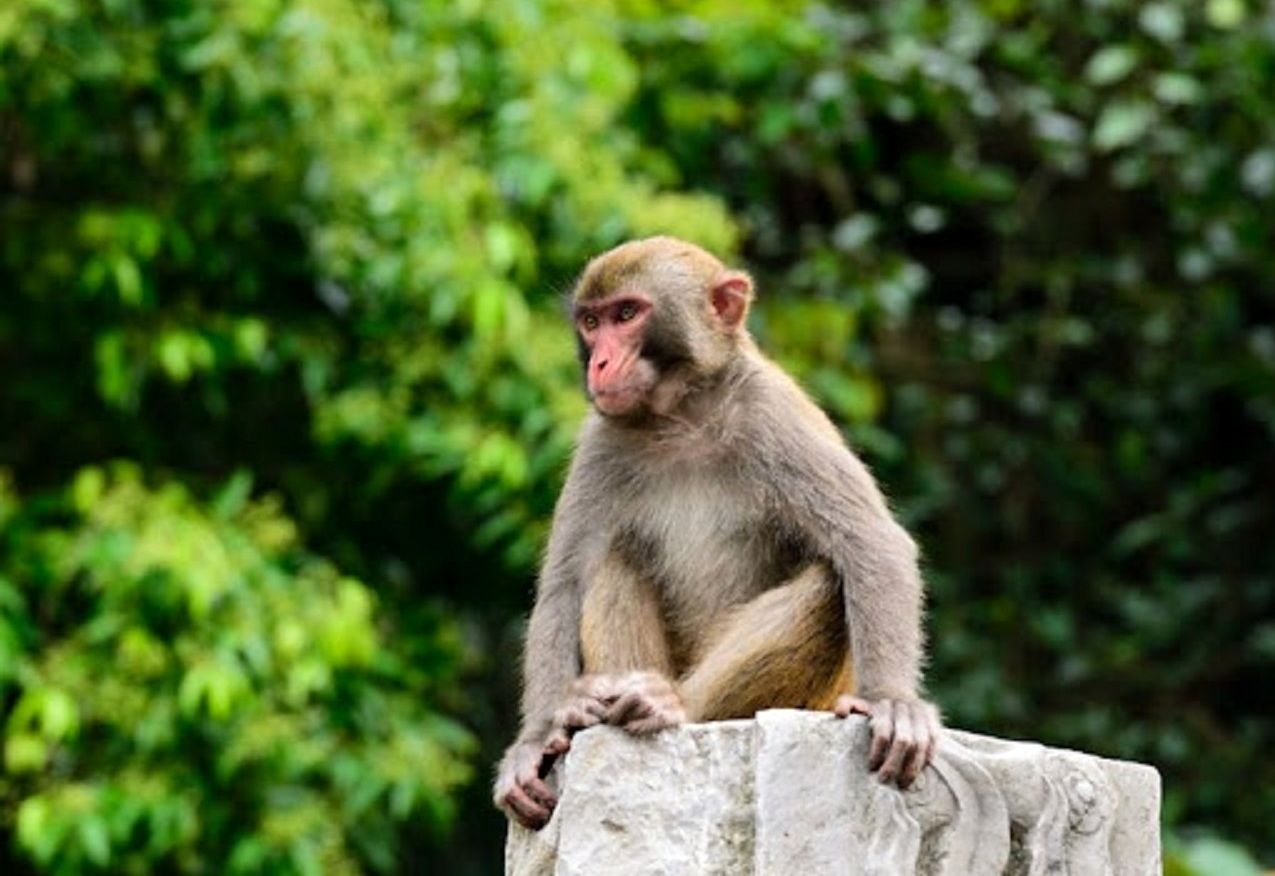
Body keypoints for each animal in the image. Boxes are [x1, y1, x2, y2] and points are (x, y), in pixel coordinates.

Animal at [492, 235, 943, 831]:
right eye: (591, 322)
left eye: (627, 314)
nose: (600, 362)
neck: (682, 413)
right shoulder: (601, 443)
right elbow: (563, 588)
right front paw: (538, 738)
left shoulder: (772, 415)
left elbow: (871, 545)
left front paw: (893, 701)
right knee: (610, 563)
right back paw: (605, 703)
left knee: (828, 582)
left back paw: (672, 706)